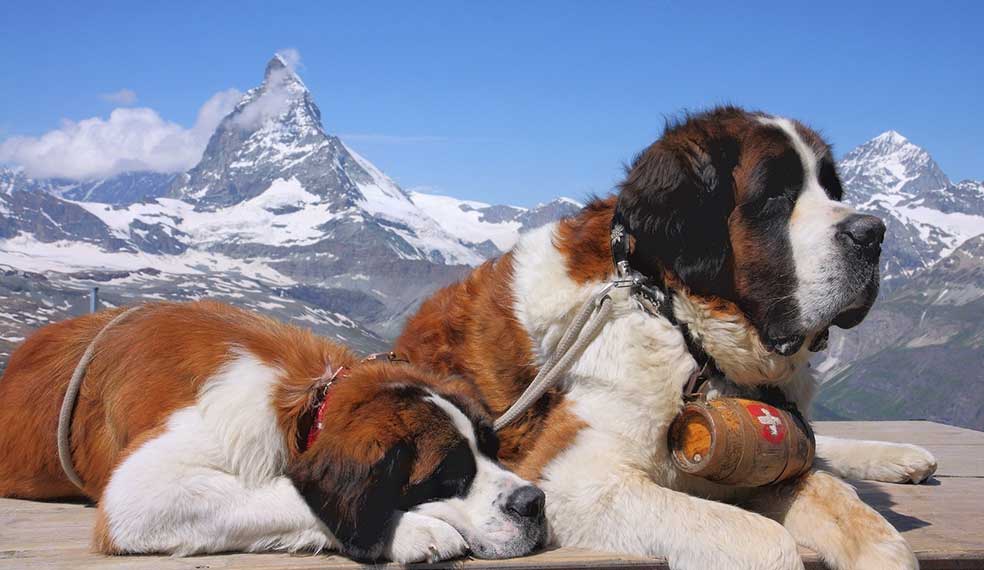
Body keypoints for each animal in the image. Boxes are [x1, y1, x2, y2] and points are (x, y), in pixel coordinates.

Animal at [0, 300, 544, 560]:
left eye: (493, 449)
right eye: (448, 475)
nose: (534, 502)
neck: (309, 401)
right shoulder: (142, 491)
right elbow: (289, 493)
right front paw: (411, 529)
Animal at [398, 107, 936, 568]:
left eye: (832, 189)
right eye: (776, 196)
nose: (873, 233)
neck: (674, 318)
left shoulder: (765, 463)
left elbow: (854, 513)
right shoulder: (572, 479)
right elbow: (766, 539)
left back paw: (900, 456)